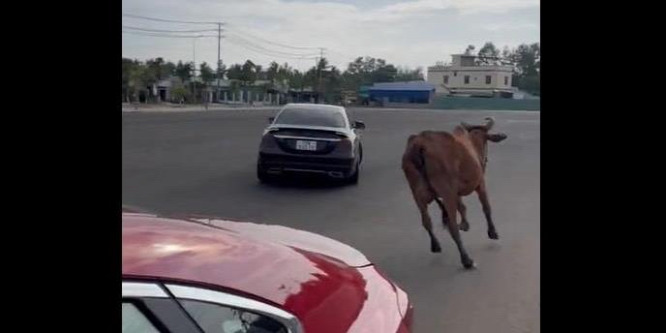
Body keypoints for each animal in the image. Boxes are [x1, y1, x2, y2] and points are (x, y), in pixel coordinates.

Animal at [402, 116, 506, 268]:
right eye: (486, 140)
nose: (484, 160)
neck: (473, 142)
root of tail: (419, 145)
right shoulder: (480, 183)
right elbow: (486, 207)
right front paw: (492, 232)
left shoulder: (456, 191)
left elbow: (462, 206)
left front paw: (465, 224)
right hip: (446, 192)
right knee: (452, 226)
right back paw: (466, 260)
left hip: (417, 194)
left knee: (427, 221)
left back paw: (436, 245)